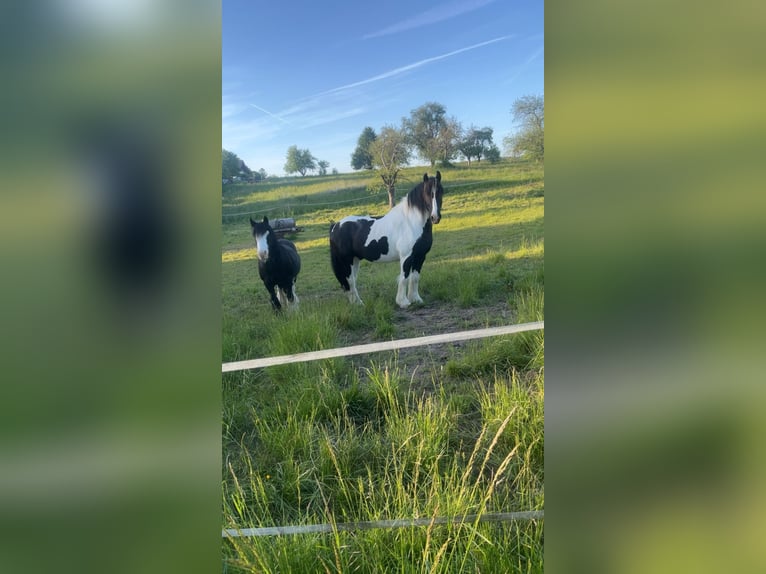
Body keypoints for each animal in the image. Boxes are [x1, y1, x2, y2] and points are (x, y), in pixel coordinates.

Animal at [329, 172, 444, 309]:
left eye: (441, 191)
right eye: (427, 193)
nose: (435, 217)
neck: (411, 223)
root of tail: (335, 226)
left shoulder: (420, 256)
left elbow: (415, 277)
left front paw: (416, 299)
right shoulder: (406, 256)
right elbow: (404, 277)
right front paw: (403, 302)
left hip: (355, 260)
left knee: (351, 282)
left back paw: (357, 304)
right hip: (347, 261)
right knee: (350, 281)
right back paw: (359, 305)